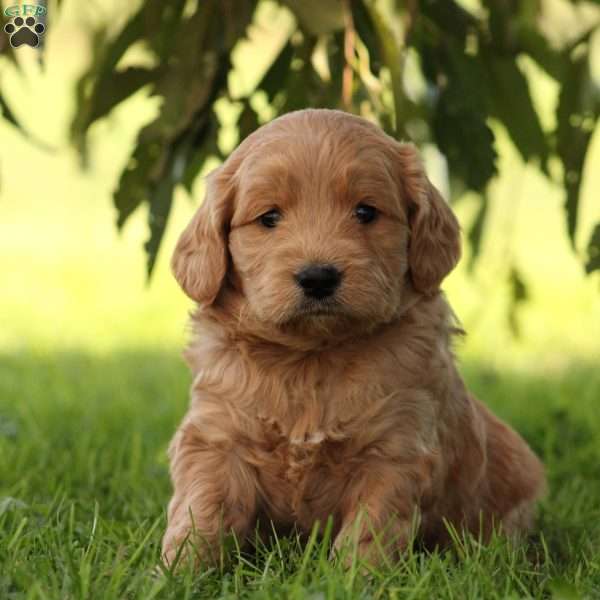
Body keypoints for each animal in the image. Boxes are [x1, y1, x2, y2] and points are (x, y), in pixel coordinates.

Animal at [162, 106, 548, 568]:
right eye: (269, 218)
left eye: (365, 212)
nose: (318, 277)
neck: (311, 360)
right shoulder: (217, 438)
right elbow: (202, 511)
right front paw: (176, 571)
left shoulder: (394, 452)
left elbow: (370, 531)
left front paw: (353, 577)